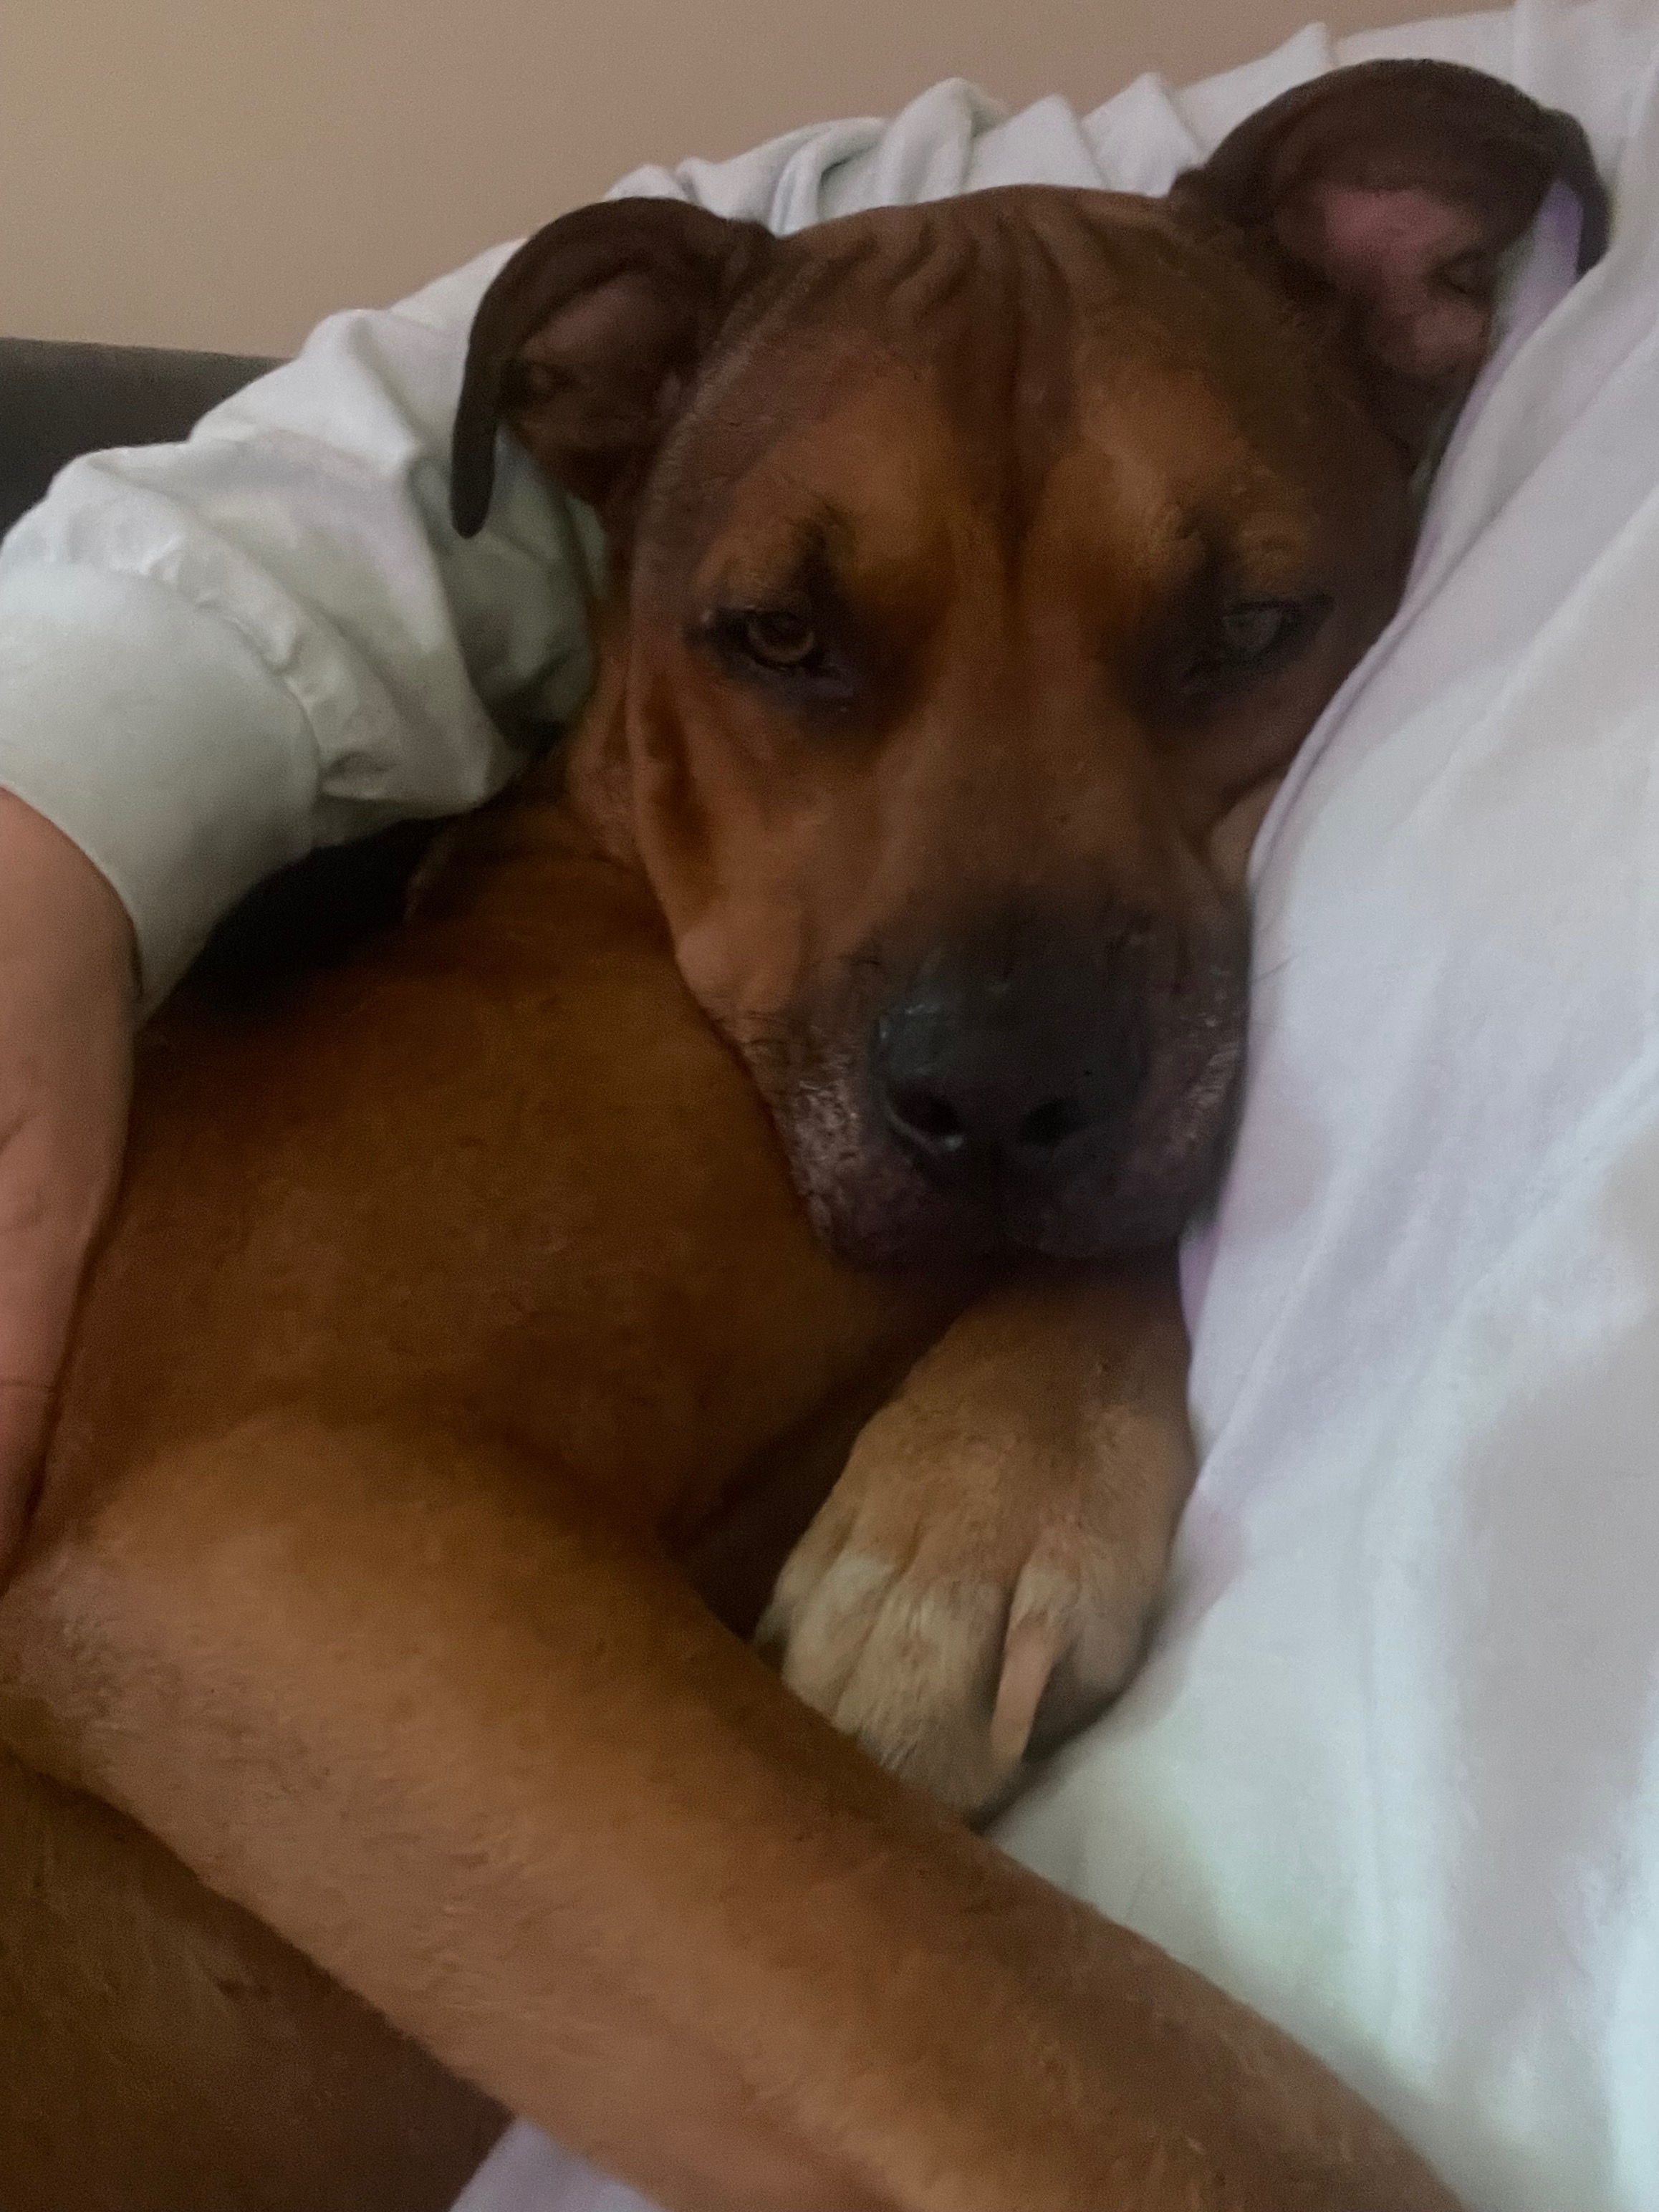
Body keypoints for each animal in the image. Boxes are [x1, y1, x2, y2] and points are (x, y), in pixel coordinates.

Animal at [0, 61, 1602, 2212]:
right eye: (773, 637)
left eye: (1252, 623)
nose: (1000, 1100)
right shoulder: (270, 1512)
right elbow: (1117, 2078)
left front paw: (977, 1506)